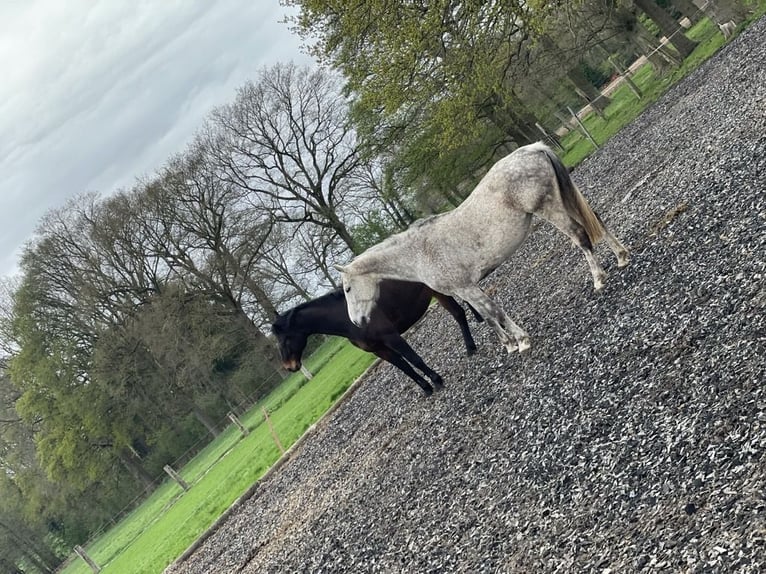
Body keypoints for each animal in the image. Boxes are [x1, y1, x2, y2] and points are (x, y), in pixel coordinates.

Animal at [271, 279, 481, 396]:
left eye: (285, 339)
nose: (290, 366)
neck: (347, 316)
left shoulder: (392, 337)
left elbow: (414, 360)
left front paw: (436, 380)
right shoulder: (379, 349)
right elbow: (404, 368)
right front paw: (426, 388)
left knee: (462, 309)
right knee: (459, 312)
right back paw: (472, 343)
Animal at [334, 142, 629, 354]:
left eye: (347, 289)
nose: (357, 321)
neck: (419, 252)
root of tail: (533, 148)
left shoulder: (466, 287)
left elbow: (494, 310)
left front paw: (522, 341)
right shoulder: (463, 290)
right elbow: (487, 316)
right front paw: (508, 345)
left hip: (550, 208)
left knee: (581, 237)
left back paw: (599, 280)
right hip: (564, 200)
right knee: (596, 220)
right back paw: (622, 257)